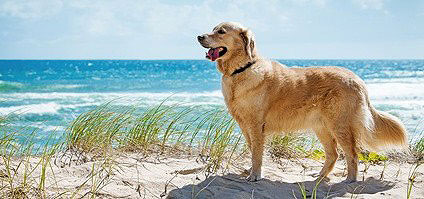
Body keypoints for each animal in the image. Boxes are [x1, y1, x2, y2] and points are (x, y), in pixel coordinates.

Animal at [198, 22, 408, 183]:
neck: (241, 69)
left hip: (339, 125)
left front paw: (255, 176)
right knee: (333, 154)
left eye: (221, 31)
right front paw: (251, 171)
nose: (199, 36)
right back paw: (319, 177)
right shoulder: (245, 125)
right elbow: (253, 150)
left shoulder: (256, 125)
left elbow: (257, 153)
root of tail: (357, 78)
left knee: (352, 154)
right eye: (213, 28)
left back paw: (349, 180)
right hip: (321, 127)